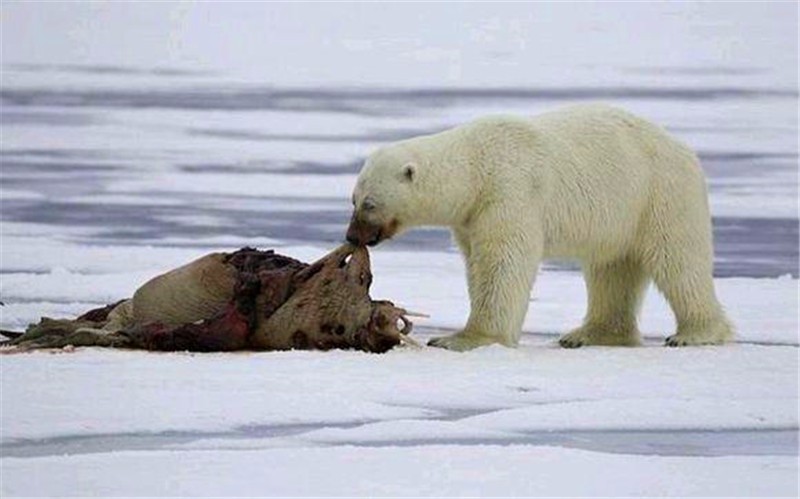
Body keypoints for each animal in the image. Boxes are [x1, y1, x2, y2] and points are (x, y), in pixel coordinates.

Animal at [346, 103, 736, 350]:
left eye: (369, 203)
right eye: (353, 200)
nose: (352, 235)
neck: (475, 166)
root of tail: (684, 149)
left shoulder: (508, 192)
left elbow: (503, 264)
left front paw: (464, 338)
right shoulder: (471, 216)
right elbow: (476, 263)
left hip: (660, 193)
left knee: (679, 261)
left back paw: (695, 334)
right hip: (622, 215)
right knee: (611, 269)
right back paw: (588, 334)